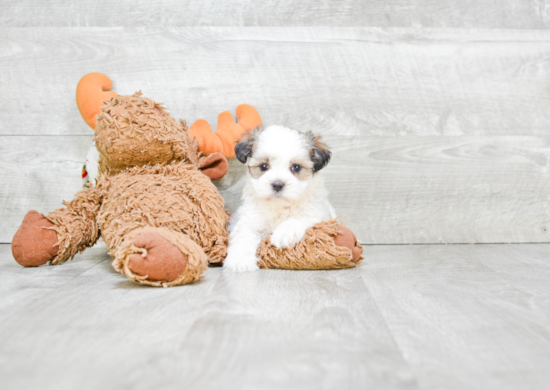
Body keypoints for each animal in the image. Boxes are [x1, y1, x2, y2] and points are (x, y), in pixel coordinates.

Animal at [224, 125, 336, 272]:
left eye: (296, 167)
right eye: (264, 166)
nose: (277, 184)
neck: (279, 205)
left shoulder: (317, 212)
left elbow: (299, 217)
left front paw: (284, 233)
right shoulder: (250, 219)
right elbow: (244, 235)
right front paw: (240, 260)